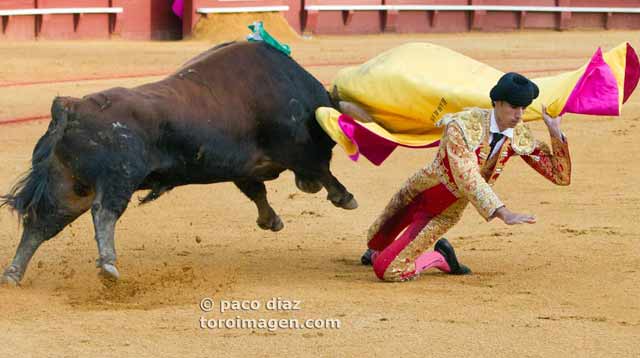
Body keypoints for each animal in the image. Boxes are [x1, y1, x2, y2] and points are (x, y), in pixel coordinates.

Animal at [0, 41, 358, 286]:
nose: (306, 188)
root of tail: (71, 107)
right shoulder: (298, 150)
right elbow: (323, 169)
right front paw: (345, 197)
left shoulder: (241, 168)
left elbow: (257, 191)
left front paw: (270, 220)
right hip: (119, 178)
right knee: (104, 212)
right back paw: (109, 267)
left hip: (70, 187)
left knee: (41, 221)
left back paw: (14, 274)